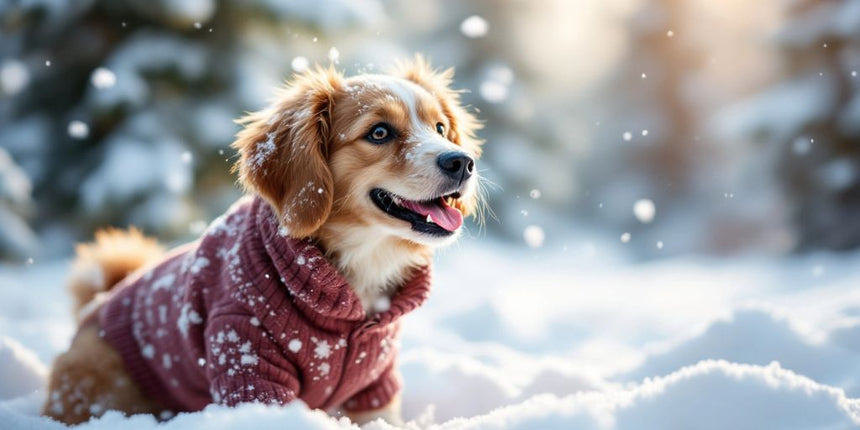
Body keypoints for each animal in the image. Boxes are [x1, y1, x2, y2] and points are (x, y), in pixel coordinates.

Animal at [43, 55, 484, 424]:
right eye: (379, 132)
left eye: (441, 128)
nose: (462, 161)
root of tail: (97, 303)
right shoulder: (247, 361)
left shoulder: (375, 387)